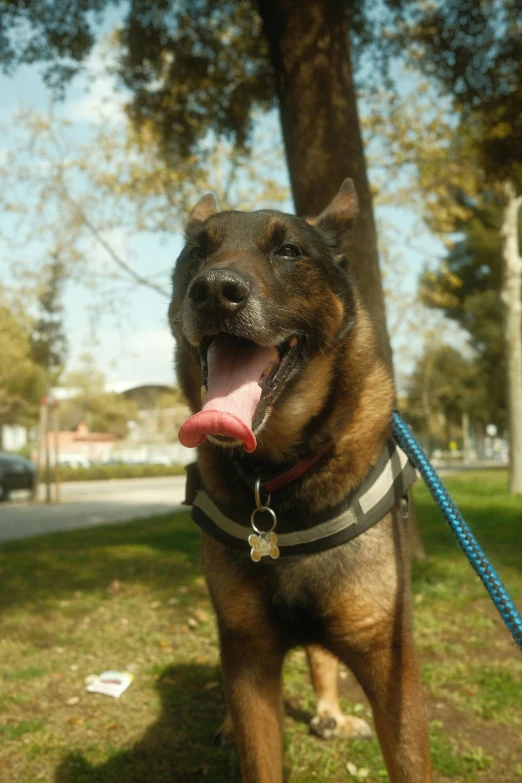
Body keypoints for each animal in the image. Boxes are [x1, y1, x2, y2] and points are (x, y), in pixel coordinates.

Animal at [169, 182, 428, 783]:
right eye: (197, 251)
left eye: (289, 251)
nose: (213, 290)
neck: (275, 480)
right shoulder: (248, 654)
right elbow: (257, 750)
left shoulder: (389, 663)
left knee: (319, 659)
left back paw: (331, 713)